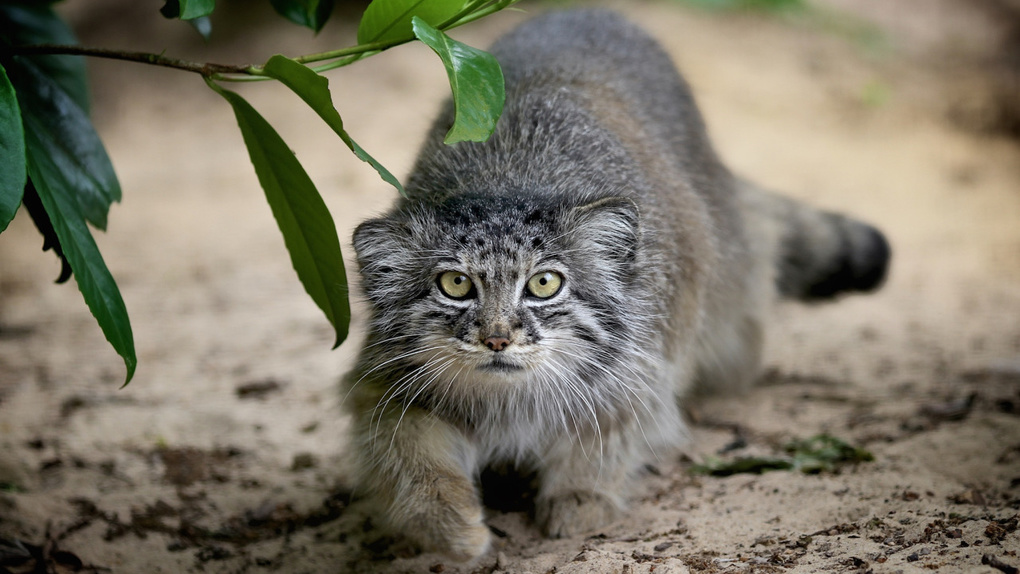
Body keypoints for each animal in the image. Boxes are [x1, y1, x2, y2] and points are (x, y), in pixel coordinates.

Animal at [340, 7, 885, 562]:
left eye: (543, 284)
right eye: (455, 284)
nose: (497, 338)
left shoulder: (640, 367)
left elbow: (607, 433)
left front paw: (581, 496)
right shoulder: (388, 382)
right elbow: (410, 459)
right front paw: (455, 528)